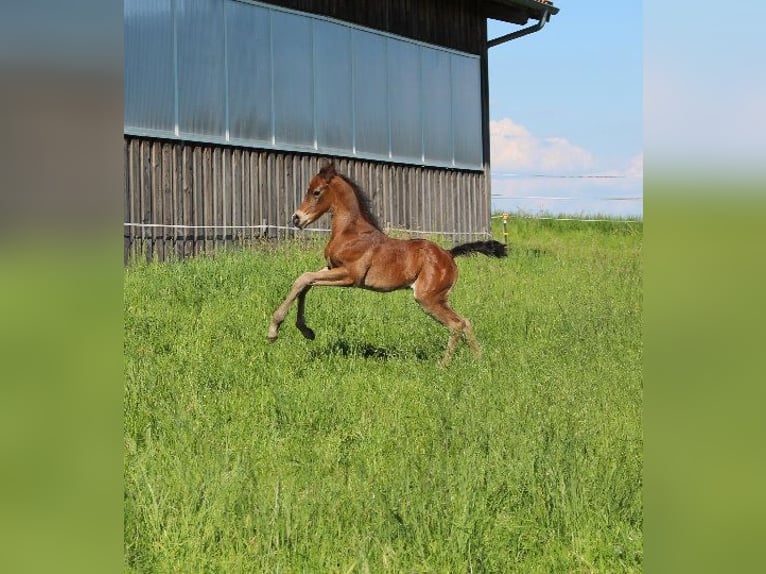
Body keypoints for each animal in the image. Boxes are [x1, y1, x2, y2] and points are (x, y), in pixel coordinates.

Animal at [270, 164, 510, 366]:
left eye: (316, 192)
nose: (296, 219)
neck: (350, 232)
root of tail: (449, 254)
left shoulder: (350, 276)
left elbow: (304, 278)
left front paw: (273, 330)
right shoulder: (331, 268)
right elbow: (305, 284)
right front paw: (306, 331)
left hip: (428, 298)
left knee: (457, 324)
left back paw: (443, 367)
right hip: (438, 299)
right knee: (466, 322)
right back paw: (479, 363)